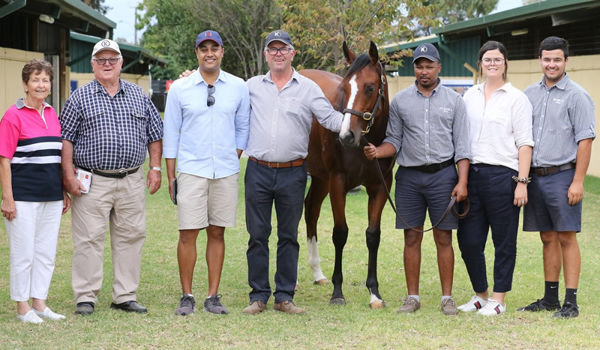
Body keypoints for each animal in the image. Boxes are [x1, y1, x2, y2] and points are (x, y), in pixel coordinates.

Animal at [300, 41, 394, 308]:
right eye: (345, 87)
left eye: (370, 87)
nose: (346, 136)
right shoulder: (338, 182)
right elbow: (340, 234)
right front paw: (337, 292)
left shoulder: (380, 186)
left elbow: (373, 235)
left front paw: (374, 293)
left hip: (320, 178)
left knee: (311, 210)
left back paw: (317, 273)